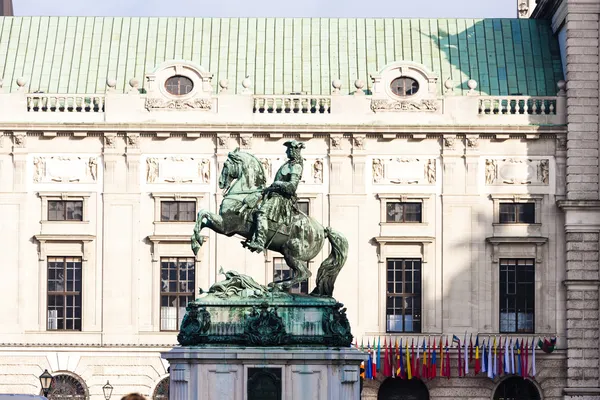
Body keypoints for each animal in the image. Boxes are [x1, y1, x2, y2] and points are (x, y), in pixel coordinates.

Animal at [190, 148, 350, 296]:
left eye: (226, 164)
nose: (221, 183)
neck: (242, 194)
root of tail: (323, 230)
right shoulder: (224, 226)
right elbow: (202, 217)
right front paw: (196, 241)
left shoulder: (226, 226)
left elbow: (202, 213)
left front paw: (196, 243)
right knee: (299, 273)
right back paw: (274, 285)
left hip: (291, 252)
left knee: (304, 273)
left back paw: (279, 286)